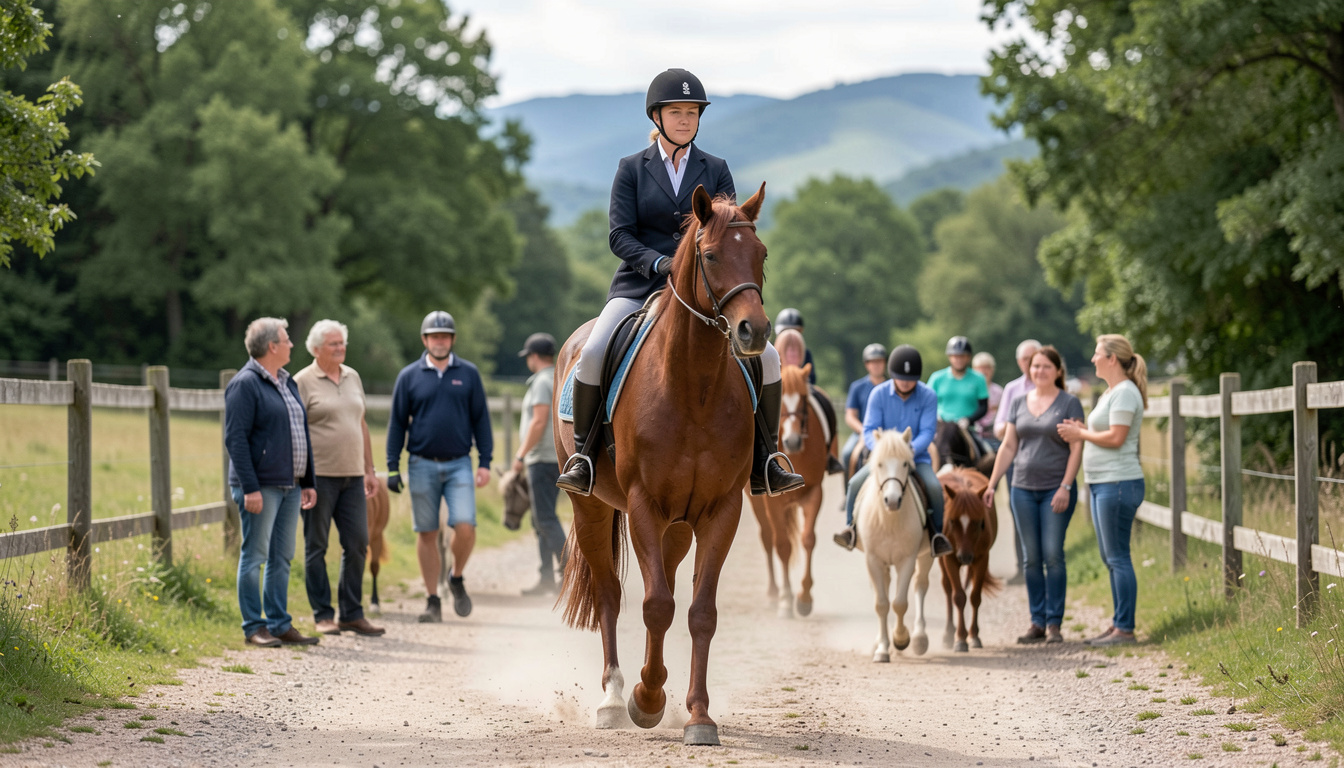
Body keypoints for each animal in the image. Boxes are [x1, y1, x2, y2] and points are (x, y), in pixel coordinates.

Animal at [554, 183, 771, 747]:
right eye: (710, 256)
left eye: (761, 255)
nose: (754, 331)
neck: (694, 384)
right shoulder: (642, 505)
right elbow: (653, 605)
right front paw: (645, 701)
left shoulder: (721, 510)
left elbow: (698, 612)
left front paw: (697, 715)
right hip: (591, 507)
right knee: (610, 595)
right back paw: (613, 698)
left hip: (677, 525)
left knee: (667, 586)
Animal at [747, 362, 827, 618]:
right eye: (782, 403)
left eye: (803, 398)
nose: (792, 442)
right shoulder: (772, 503)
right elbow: (782, 545)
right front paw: (785, 600)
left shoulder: (814, 492)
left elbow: (808, 539)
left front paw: (804, 598)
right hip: (757, 503)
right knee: (768, 539)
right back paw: (774, 594)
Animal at [855, 427, 934, 662]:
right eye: (879, 463)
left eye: (905, 464)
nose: (892, 500)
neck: (888, 520)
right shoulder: (873, 560)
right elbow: (881, 604)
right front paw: (882, 649)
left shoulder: (906, 560)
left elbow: (899, 603)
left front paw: (901, 639)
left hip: (925, 557)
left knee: (920, 586)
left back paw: (919, 638)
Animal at [937, 467, 1000, 652]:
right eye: (951, 521)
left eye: (980, 523)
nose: (964, 557)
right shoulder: (950, 558)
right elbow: (958, 597)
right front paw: (960, 639)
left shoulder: (981, 558)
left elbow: (975, 597)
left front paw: (973, 636)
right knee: (948, 589)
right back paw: (948, 634)